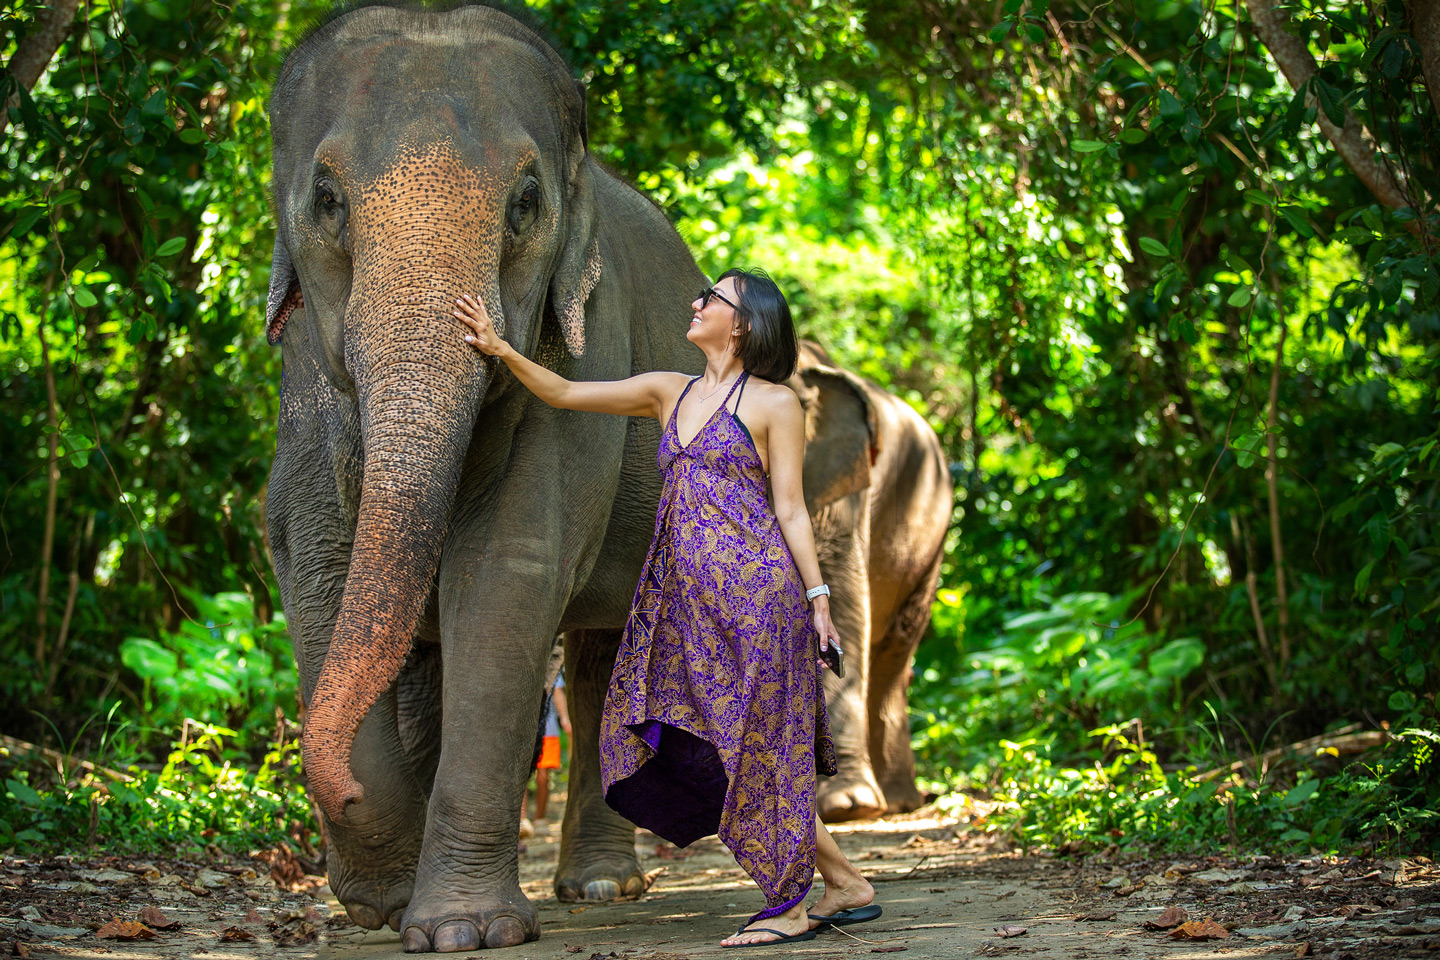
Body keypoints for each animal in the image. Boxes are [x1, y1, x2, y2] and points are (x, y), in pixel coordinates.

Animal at [262, 5, 956, 955]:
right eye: (327, 201)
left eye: (525, 205)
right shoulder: (301, 380)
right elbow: (318, 568)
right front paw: (384, 901)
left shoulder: (588, 361)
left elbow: (507, 576)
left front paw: (463, 930)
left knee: (606, 652)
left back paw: (603, 887)